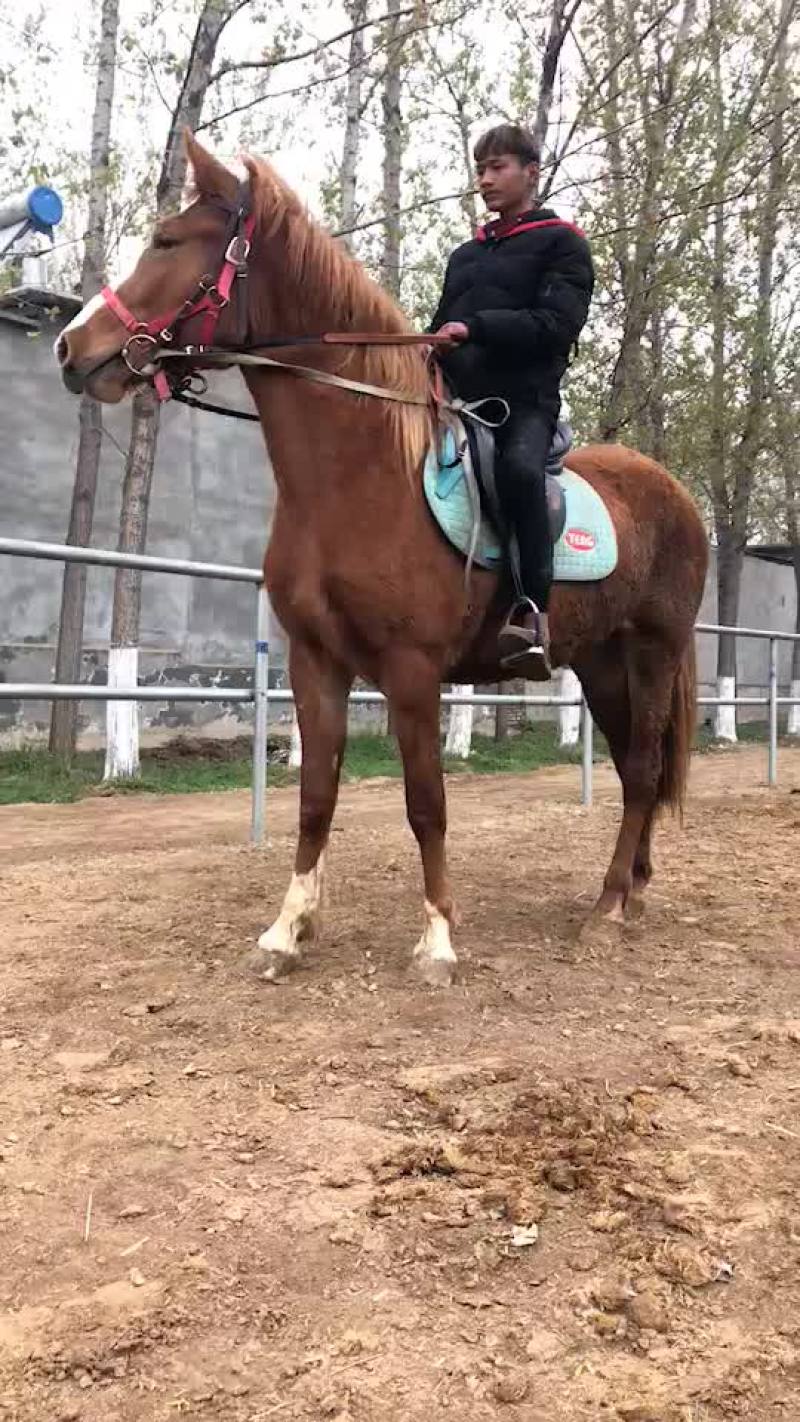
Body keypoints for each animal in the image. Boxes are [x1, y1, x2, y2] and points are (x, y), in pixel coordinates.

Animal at [56, 133, 709, 987]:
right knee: (637, 771)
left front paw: (437, 942)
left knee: (641, 769)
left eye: (168, 241)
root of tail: (678, 496)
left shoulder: (411, 669)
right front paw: (287, 931)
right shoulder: (316, 661)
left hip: (653, 651)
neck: (357, 478)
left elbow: (426, 802)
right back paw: (628, 891)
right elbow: (315, 797)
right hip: (600, 661)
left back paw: (605, 910)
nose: (73, 349)